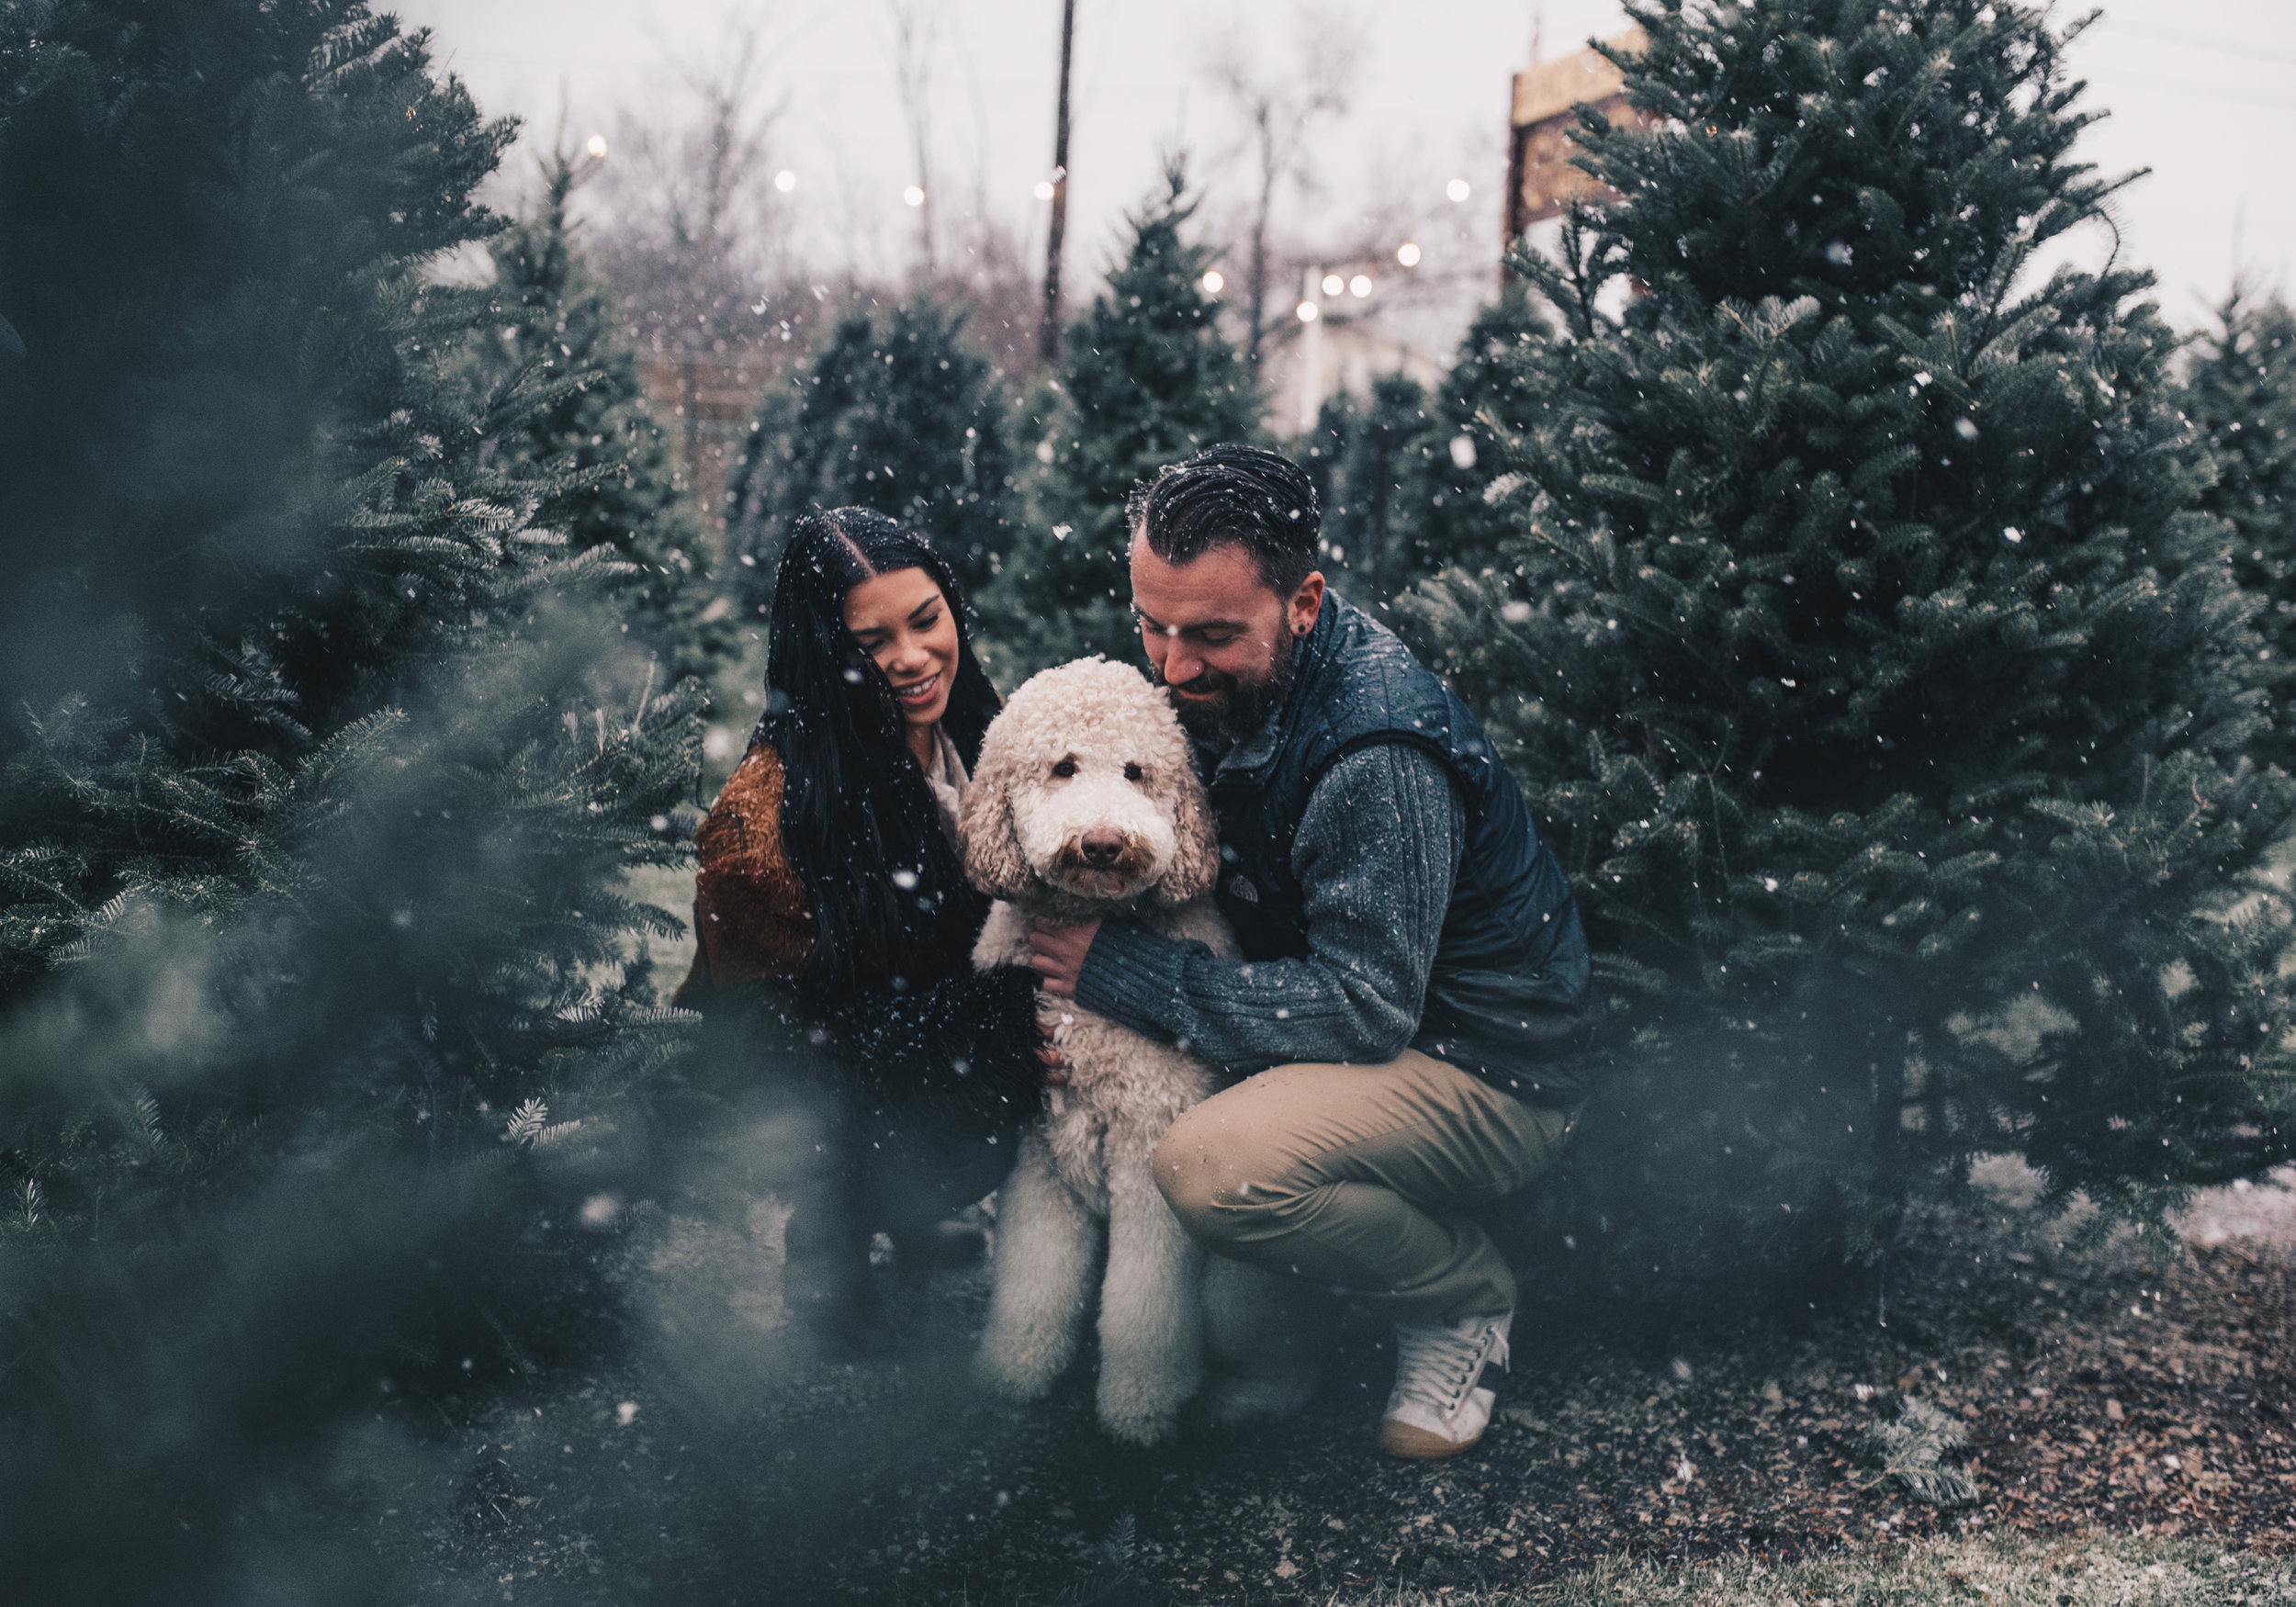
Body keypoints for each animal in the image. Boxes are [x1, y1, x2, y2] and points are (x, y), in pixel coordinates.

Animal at [960, 652, 1322, 1442]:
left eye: (1136, 771)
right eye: (1063, 766)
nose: (1103, 843)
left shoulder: (1148, 1145)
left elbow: (1144, 1303)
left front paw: (1139, 1406)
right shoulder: (1041, 1149)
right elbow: (1034, 1275)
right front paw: (1017, 1370)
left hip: (1237, 1283)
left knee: (1282, 1351)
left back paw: (1248, 1399)